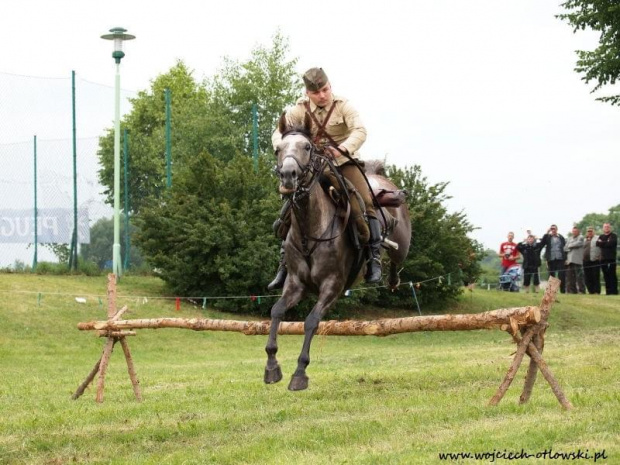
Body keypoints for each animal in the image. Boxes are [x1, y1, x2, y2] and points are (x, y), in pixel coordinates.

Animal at [266, 113, 412, 392]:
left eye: (307, 147)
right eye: (278, 149)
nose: (288, 176)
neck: (311, 229)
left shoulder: (332, 286)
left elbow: (311, 321)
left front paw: (299, 373)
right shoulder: (295, 284)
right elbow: (276, 311)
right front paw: (271, 366)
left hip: (401, 243)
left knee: (396, 260)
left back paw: (388, 277)